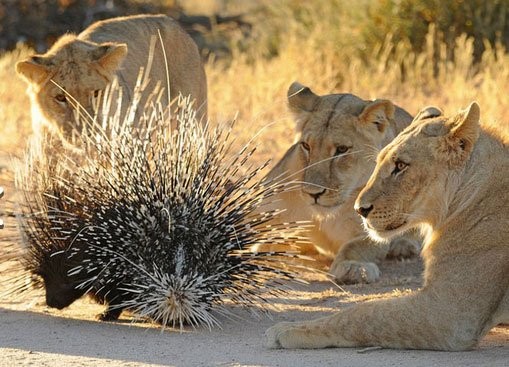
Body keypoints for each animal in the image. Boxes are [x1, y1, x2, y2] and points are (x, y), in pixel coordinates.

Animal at [260, 82, 418, 284]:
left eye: (342, 149)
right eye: (306, 146)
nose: (313, 193)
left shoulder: (372, 227)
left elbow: (357, 246)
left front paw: (353, 268)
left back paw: (404, 246)